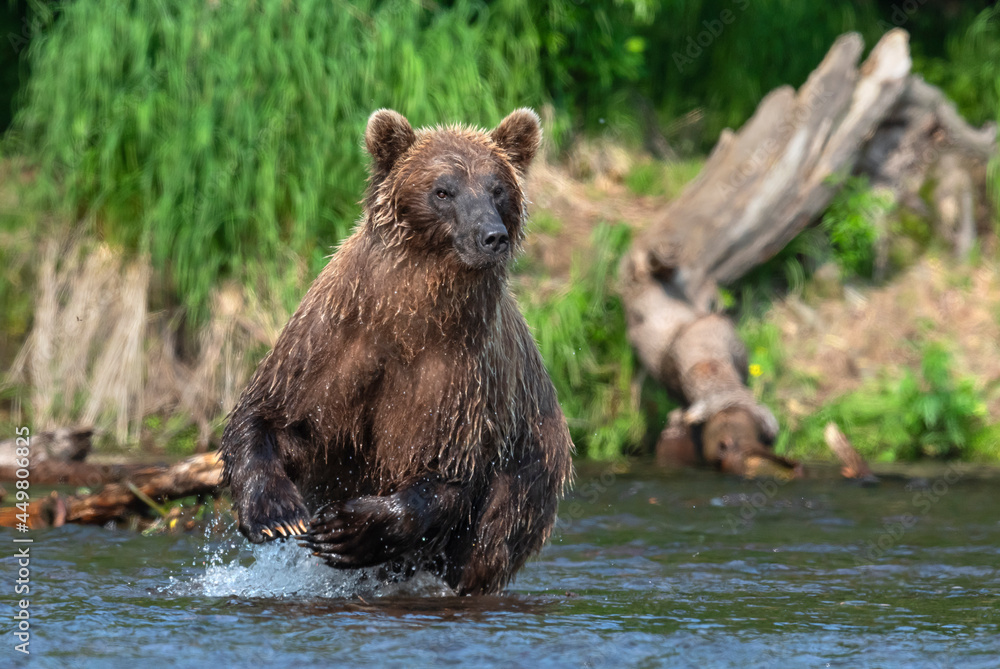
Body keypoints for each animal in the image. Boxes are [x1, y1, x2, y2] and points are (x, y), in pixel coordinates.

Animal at [219, 108, 574, 596]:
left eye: (497, 188)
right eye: (443, 189)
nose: (491, 236)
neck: (408, 317)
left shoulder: (460, 379)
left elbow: (445, 474)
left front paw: (352, 530)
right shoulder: (329, 343)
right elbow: (268, 415)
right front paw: (277, 515)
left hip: (530, 468)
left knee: (489, 539)